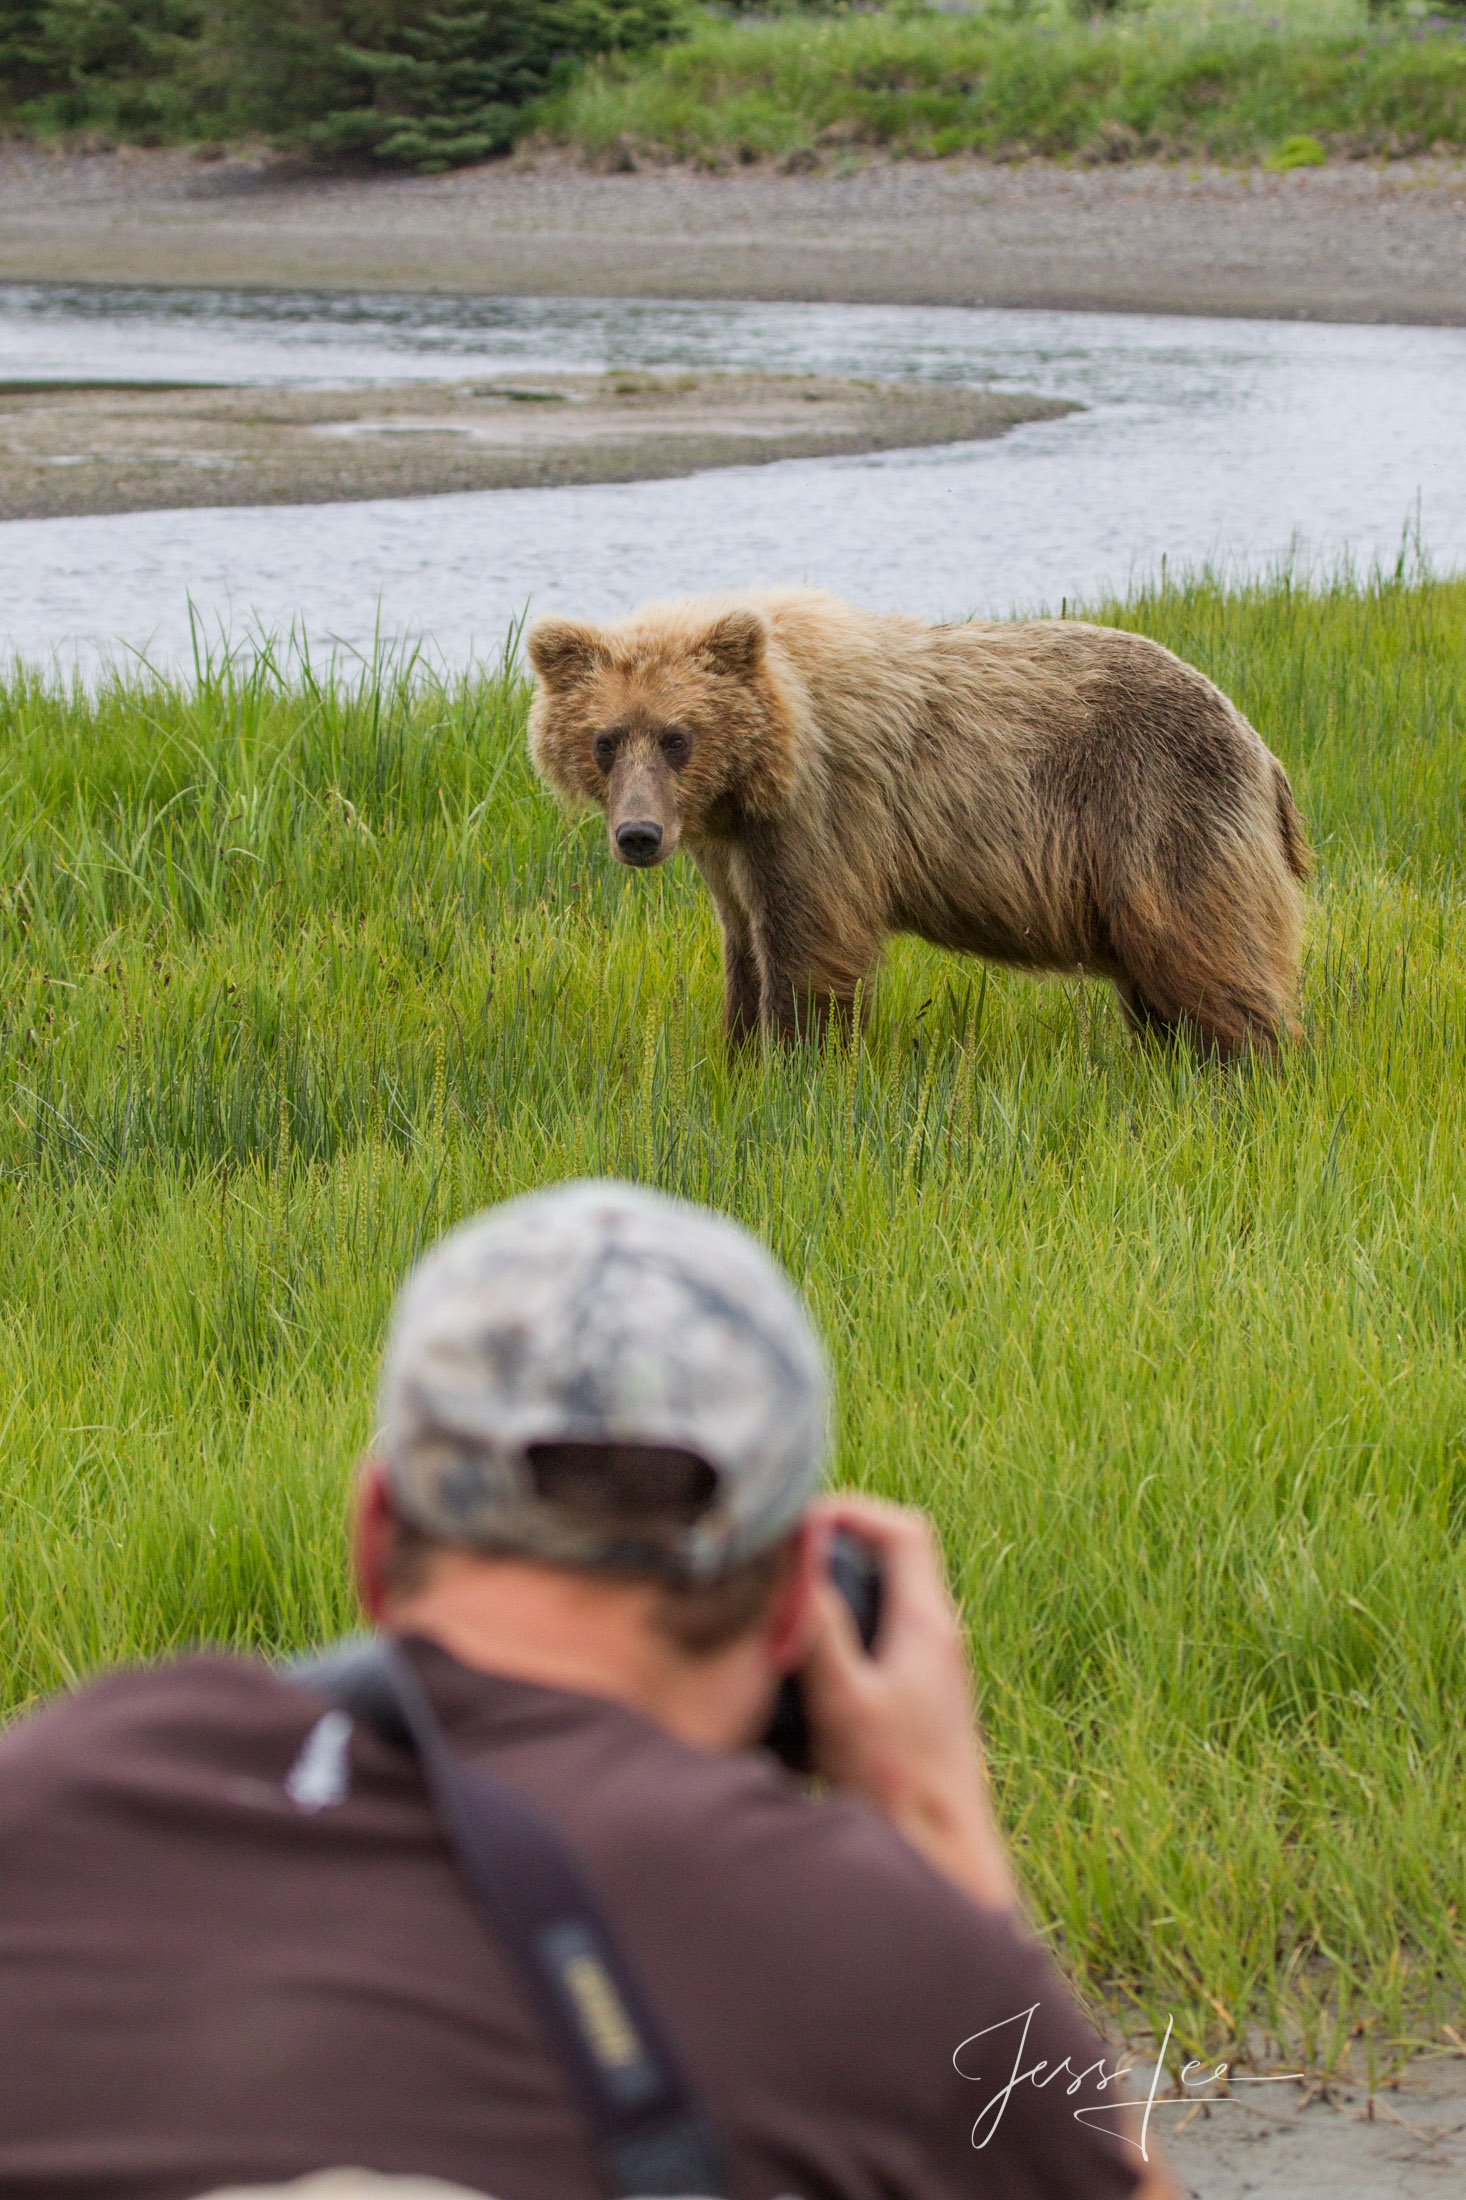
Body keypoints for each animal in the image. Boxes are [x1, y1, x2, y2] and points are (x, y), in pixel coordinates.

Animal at [521, 585, 1303, 1064]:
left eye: (677, 737)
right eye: (605, 739)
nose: (639, 835)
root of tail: (1262, 747)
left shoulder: (822, 818)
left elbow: (811, 951)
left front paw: (796, 1066)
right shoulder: (730, 849)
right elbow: (743, 949)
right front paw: (737, 1055)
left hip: (1158, 808)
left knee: (1203, 950)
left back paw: (1253, 1066)